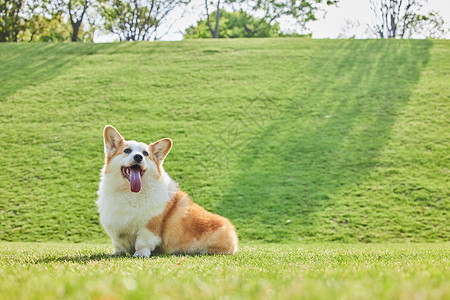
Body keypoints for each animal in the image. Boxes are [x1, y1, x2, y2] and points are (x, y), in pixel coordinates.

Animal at [96, 125, 237, 256]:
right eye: (127, 150)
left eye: (146, 154)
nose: (138, 157)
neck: (129, 192)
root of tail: (233, 230)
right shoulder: (116, 228)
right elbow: (118, 243)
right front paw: (117, 253)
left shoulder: (150, 225)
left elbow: (142, 242)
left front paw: (141, 254)